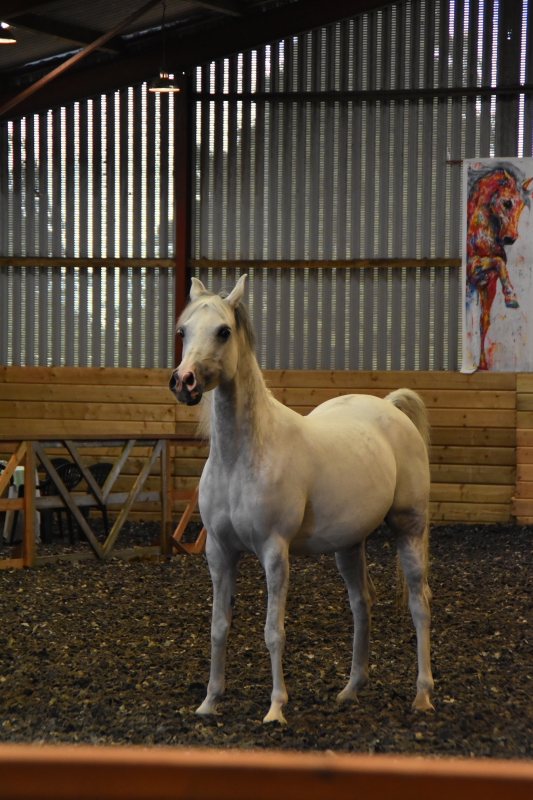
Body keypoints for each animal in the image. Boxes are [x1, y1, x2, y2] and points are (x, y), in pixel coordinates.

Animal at [169, 276, 432, 724]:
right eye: (183, 331)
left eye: (223, 331)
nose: (184, 381)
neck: (242, 456)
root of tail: (390, 408)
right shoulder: (219, 552)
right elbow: (219, 627)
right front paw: (209, 701)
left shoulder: (275, 552)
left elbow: (273, 632)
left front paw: (276, 708)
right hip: (349, 545)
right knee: (361, 605)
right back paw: (351, 689)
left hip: (409, 531)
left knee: (419, 605)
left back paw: (423, 695)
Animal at [464, 166, 528, 372]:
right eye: (507, 203)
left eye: (522, 206)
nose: (510, 239)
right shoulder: (471, 269)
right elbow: (499, 262)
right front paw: (511, 297)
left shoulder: (489, 283)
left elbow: (484, 322)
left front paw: (483, 364)